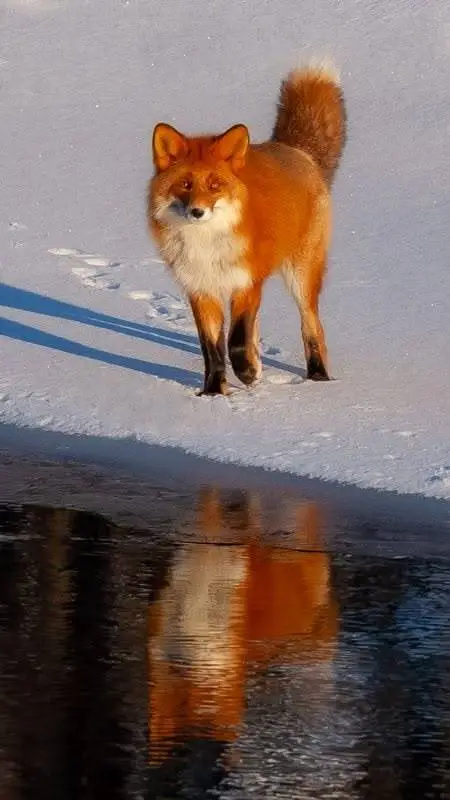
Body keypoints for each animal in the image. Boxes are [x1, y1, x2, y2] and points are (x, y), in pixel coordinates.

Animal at [148, 63, 347, 395]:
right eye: (185, 184)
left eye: (214, 185)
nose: (197, 212)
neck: (207, 244)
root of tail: (295, 150)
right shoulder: (201, 288)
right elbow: (212, 349)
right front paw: (214, 392)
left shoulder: (247, 283)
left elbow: (236, 342)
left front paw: (247, 373)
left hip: (301, 275)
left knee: (312, 327)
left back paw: (318, 378)